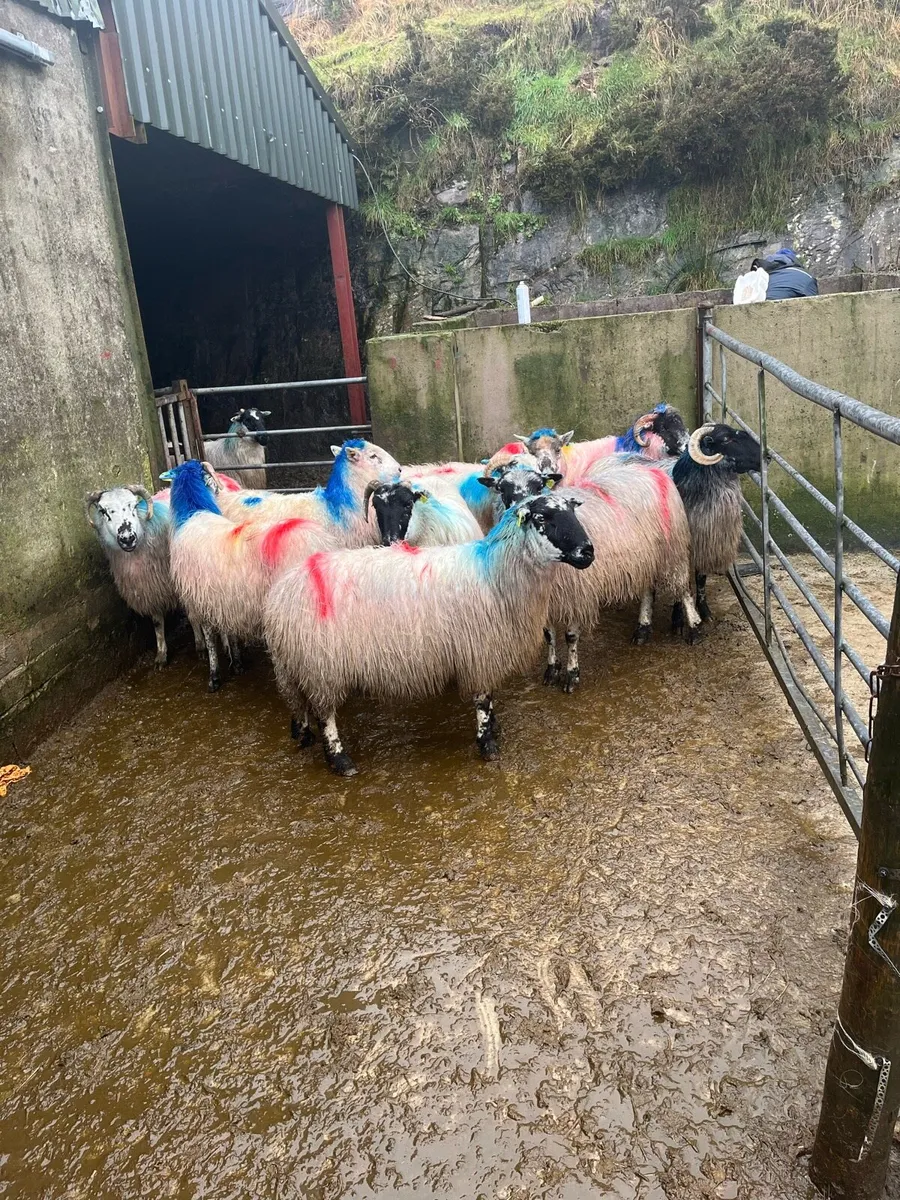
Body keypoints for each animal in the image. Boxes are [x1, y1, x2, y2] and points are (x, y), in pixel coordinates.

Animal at [85, 484, 206, 668]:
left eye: (134, 505)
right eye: (102, 510)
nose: (127, 538)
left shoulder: (183, 582)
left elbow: (192, 615)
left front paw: (200, 645)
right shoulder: (149, 589)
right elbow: (157, 623)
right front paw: (161, 655)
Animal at [264, 493, 595, 775]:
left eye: (572, 511)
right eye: (541, 518)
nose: (588, 551)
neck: (494, 573)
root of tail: (281, 594)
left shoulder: (485, 651)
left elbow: (489, 698)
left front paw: (494, 728)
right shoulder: (479, 648)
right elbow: (483, 700)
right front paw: (487, 743)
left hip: (300, 665)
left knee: (302, 704)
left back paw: (304, 733)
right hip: (320, 665)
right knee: (325, 713)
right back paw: (339, 759)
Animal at [480, 455, 701, 691]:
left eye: (539, 485)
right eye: (502, 489)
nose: (518, 511)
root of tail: (651, 470)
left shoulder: (577, 590)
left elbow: (570, 636)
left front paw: (572, 675)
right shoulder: (544, 596)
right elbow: (548, 635)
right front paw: (551, 669)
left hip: (674, 548)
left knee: (684, 589)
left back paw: (694, 628)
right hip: (644, 556)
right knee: (647, 589)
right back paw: (642, 628)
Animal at [666, 423, 762, 626]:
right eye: (725, 439)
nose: (765, 457)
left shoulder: (706, 546)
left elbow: (701, 579)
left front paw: (704, 610)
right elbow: (680, 582)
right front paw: (677, 618)